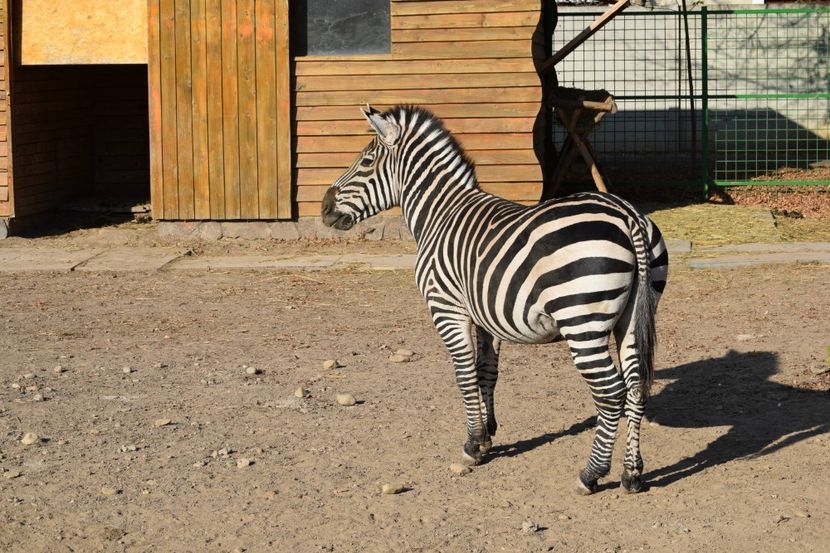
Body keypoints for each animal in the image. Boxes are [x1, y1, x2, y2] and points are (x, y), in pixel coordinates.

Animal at [322, 105, 672, 494]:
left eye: (366, 162)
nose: (324, 207)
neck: (440, 214)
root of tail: (627, 215)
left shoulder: (446, 309)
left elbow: (463, 373)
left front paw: (473, 444)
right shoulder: (485, 316)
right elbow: (485, 372)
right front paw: (488, 435)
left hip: (583, 322)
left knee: (611, 394)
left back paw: (591, 473)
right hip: (632, 316)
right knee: (636, 388)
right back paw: (632, 473)